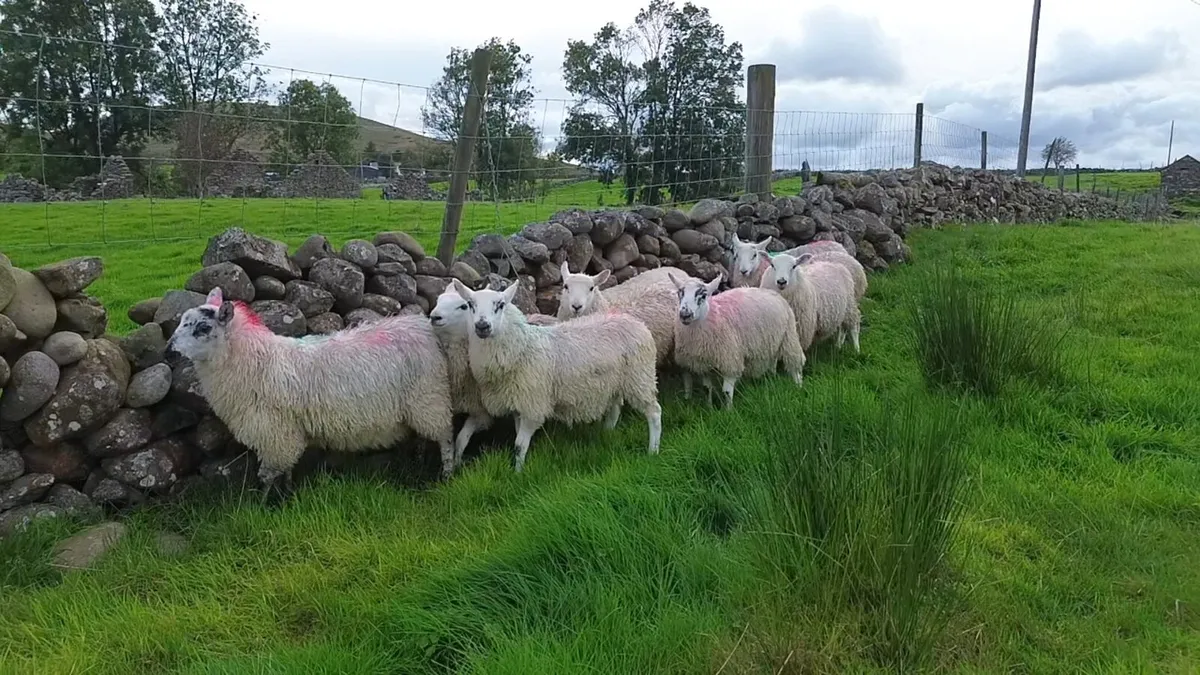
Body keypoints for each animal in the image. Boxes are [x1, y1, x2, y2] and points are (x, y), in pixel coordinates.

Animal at [165, 287, 457, 500]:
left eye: (203, 328)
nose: (168, 352)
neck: (256, 362)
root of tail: (423, 325)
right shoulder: (287, 432)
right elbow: (287, 468)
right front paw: (288, 494)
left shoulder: (274, 432)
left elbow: (267, 475)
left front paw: (261, 504)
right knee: (422, 436)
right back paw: (418, 462)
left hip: (430, 397)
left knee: (445, 437)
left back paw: (447, 474)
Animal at [450, 278, 662, 472]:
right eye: (470, 304)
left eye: (500, 305)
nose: (482, 326)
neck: (521, 348)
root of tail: (635, 322)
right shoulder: (519, 403)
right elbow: (518, 439)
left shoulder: (533, 405)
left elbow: (519, 446)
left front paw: (517, 474)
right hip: (613, 382)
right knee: (615, 408)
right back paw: (607, 434)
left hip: (640, 377)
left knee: (654, 412)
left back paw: (653, 451)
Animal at [668, 271, 806, 408]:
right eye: (680, 294)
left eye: (703, 296)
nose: (685, 315)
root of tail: (773, 293)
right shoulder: (703, 363)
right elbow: (707, 388)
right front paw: (709, 407)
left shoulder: (730, 360)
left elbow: (727, 392)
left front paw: (728, 410)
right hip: (771, 340)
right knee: (773, 360)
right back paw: (772, 377)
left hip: (789, 336)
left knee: (795, 364)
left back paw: (798, 386)